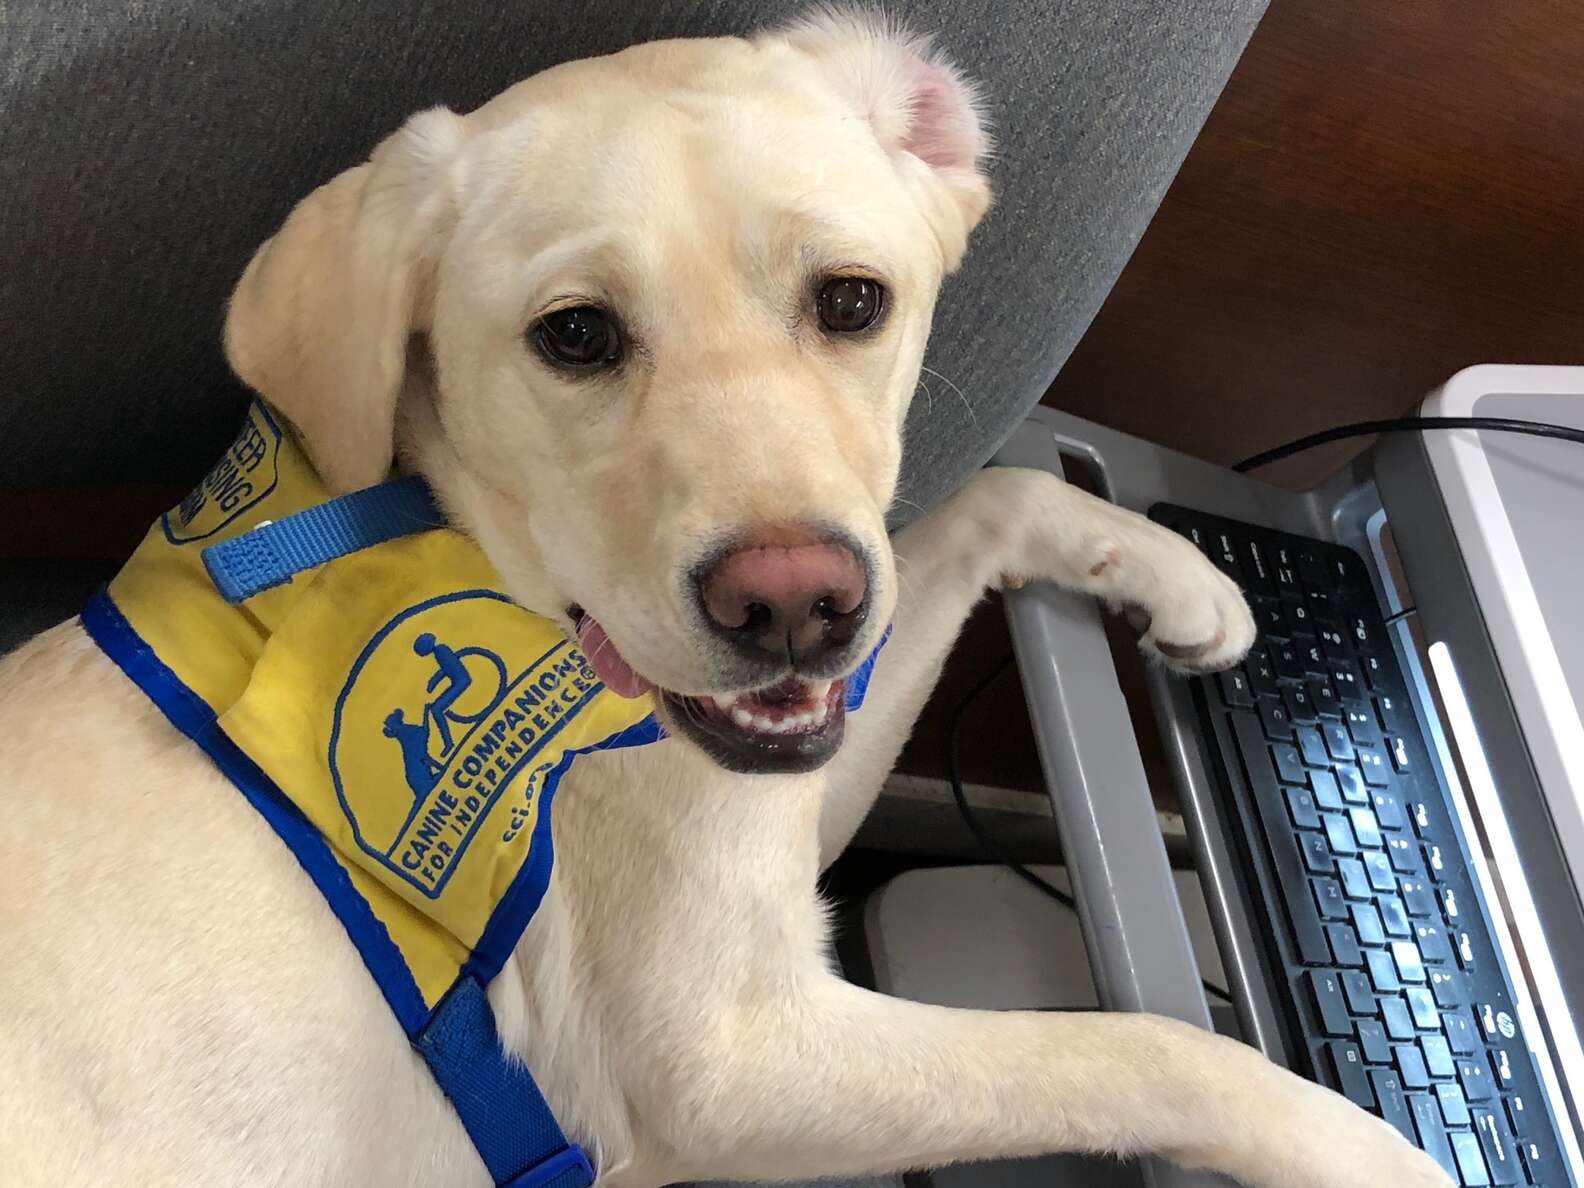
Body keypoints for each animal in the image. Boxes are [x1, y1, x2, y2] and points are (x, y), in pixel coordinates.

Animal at [3, 11, 1457, 1188]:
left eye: (855, 301)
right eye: (574, 335)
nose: (796, 607)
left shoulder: (792, 817)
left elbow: (991, 498)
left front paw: (1182, 575)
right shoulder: (723, 1063)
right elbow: (1147, 1049)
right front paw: (1372, 1152)